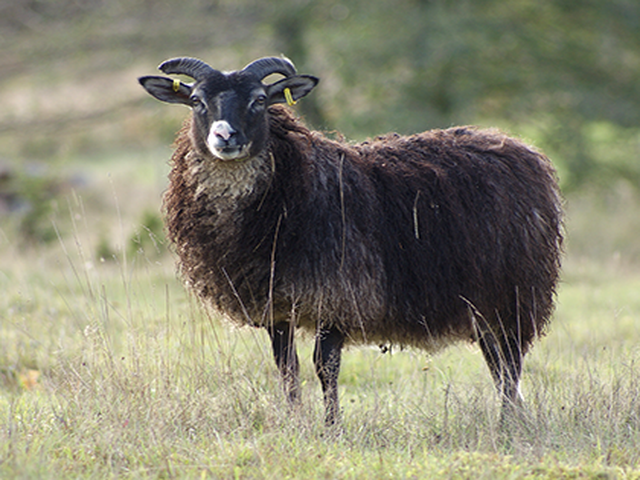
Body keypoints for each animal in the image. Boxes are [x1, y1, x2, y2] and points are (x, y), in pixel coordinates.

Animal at [138, 56, 563, 426]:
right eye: (196, 100)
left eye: (259, 99)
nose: (225, 136)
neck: (290, 186)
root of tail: (518, 146)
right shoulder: (277, 305)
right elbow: (287, 368)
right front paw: (296, 423)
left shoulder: (338, 295)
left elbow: (325, 367)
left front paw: (332, 428)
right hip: (485, 300)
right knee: (497, 359)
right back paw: (513, 418)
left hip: (513, 292)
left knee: (509, 361)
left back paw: (508, 422)